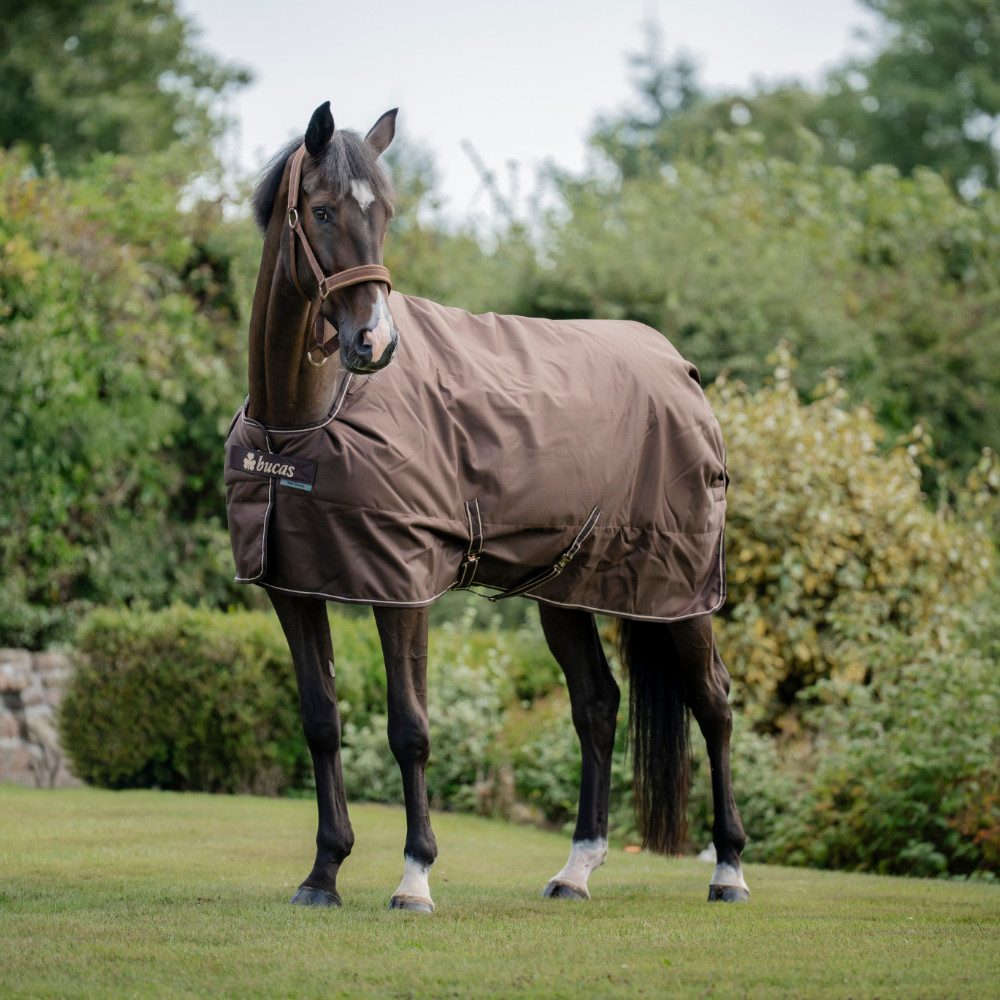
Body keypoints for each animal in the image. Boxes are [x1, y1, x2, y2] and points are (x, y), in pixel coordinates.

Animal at [225, 100, 749, 911]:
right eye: (321, 210)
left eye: (387, 215)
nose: (375, 342)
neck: (304, 419)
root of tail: (680, 367)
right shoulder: (293, 586)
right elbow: (320, 721)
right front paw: (323, 874)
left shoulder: (401, 587)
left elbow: (408, 727)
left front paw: (414, 878)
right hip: (570, 588)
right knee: (597, 705)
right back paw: (576, 870)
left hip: (679, 590)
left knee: (714, 703)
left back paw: (728, 870)